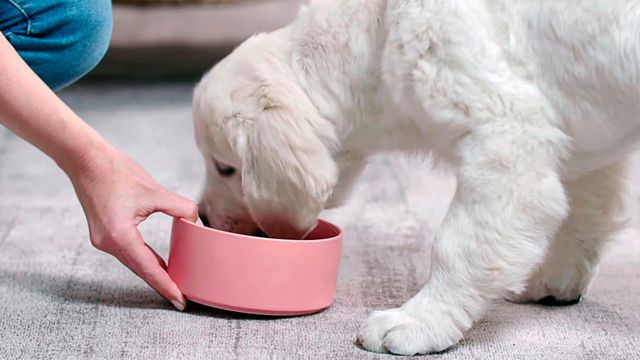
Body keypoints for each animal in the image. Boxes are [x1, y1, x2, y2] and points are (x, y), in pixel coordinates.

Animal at [192, 0, 636, 354]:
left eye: (226, 167)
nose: (204, 218)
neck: (378, 32)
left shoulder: (506, 139)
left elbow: (457, 245)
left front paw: (419, 322)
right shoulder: (583, 141)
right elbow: (587, 210)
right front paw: (555, 280)